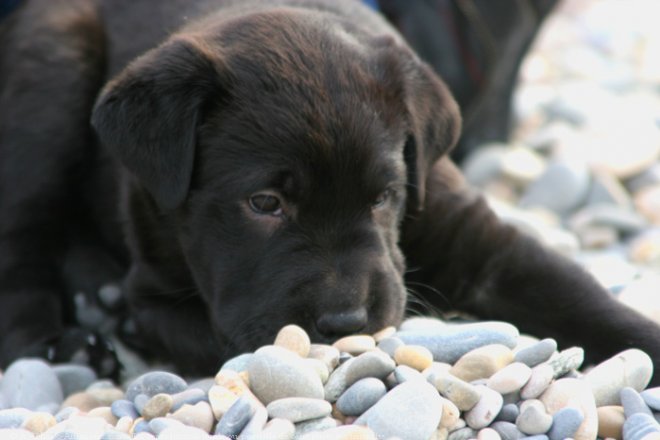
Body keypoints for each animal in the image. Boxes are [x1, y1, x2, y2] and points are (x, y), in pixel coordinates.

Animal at [1, 0, 660, 380]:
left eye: (384, 196)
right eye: (264, 203)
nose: (346, 319)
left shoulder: (470, 232)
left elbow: (573, 292)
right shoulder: (157, 291)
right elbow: (237, 342)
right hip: (52, 65)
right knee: (22, 243)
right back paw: (65, 345)